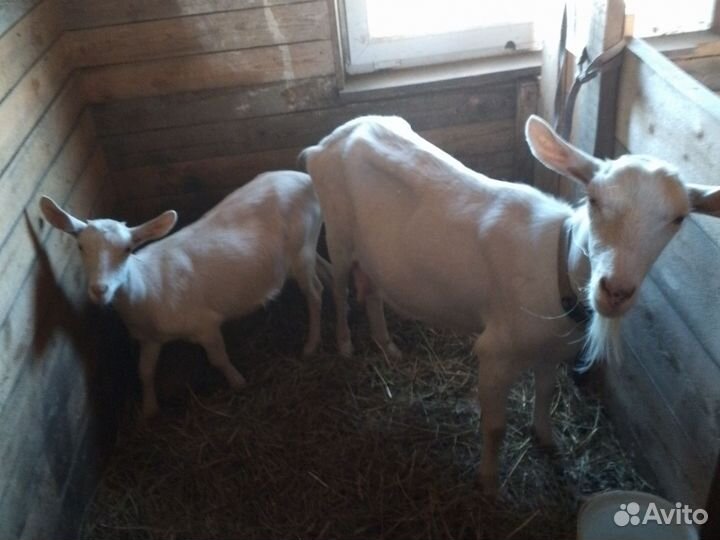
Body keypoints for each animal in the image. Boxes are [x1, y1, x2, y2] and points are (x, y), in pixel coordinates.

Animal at [36, 171, 324, 416]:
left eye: (128, 249)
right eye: (81, 247)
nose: (100, 290)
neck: (148, 288)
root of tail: (305, 178)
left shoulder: (205, 324)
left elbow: (218, 359)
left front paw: (238, 383)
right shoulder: (150, 338)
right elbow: (145, 371)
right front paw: (150, 410)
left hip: (301, 252)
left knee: (315, 295)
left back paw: (311, 346)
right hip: (308, 248)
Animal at [300, 114, 720, 494]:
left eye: (679, 218)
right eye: (593, 200)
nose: (614, 291)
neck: (556, 266)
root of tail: (329, 141)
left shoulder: (553, 348)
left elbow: (546, 393)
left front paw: (546, 438)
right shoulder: (495, 352)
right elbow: (495, 426)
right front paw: (488, 482)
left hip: (374, 252)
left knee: (371, 288)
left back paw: (387, 346)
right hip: (337, 232)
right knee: (339, 285)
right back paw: (345, 344)